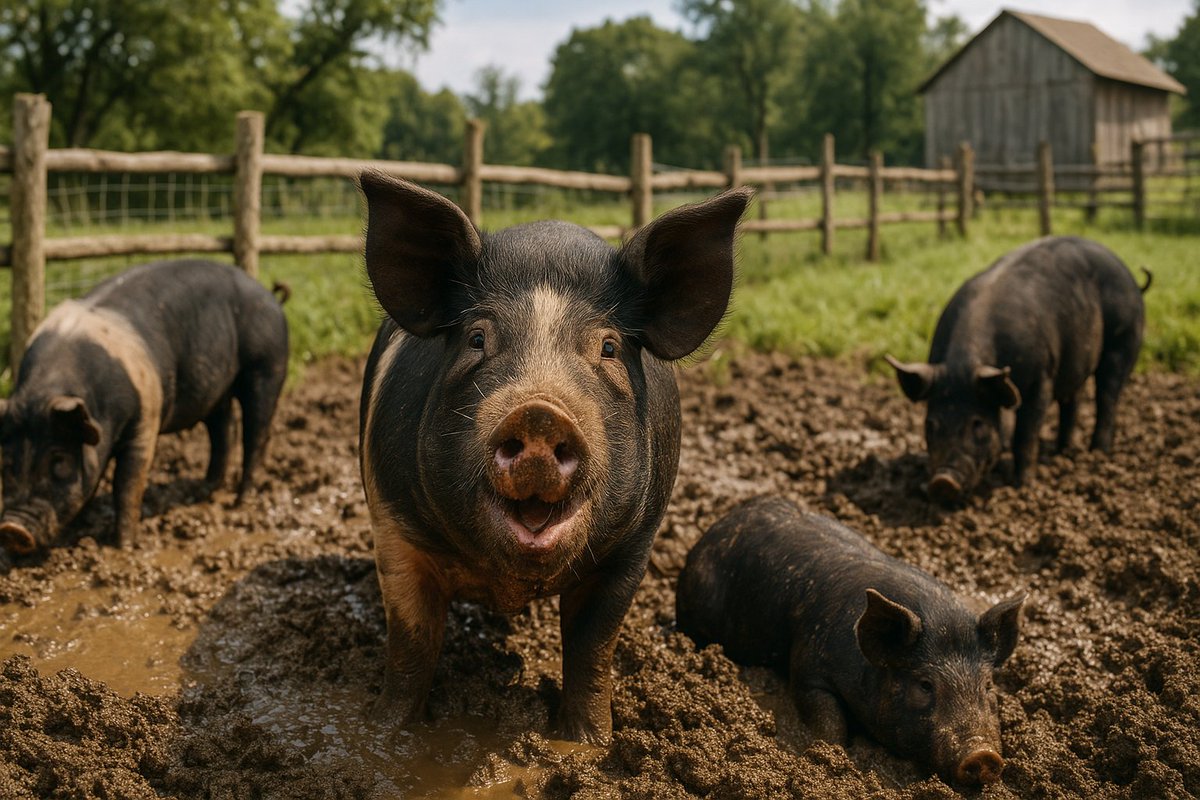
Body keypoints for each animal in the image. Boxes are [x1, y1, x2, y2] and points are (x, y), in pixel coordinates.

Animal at [0, 260, 289, 554]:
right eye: (5, 462)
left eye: (58, 460)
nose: (12, 529)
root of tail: (268, 294)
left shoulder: (145, 419)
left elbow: (127, 483)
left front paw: (123, 547)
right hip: (217, 388)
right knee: (222, 430)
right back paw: (203, 492)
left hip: (267, 365)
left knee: (256, 431)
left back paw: (240, 502)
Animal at [357, 170, 751, 743]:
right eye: (477, 338)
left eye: (609, 347)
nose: (540, 413)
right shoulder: (393, 529)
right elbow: (411, 643)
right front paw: (385, 737)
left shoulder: (634, 545)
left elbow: (592, 648)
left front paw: (586, 745)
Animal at [676, 496, 1025, 787]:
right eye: (925, 685)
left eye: (988, 686)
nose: (984, 756)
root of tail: (718, 525)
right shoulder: (809, 668)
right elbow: (829, 721)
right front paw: (830, 756)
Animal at [885, 236, 1149, 502]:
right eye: (930, 424)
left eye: (977, 423)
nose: (943, 481)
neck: (964, 364)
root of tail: (1128, 274)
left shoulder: (1040, 379)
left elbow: (1025, 434)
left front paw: (1021, 486)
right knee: (1072, 401)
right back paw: (1062, 452)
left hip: (1123, 340)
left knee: (1107, 396)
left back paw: (1097, 452)